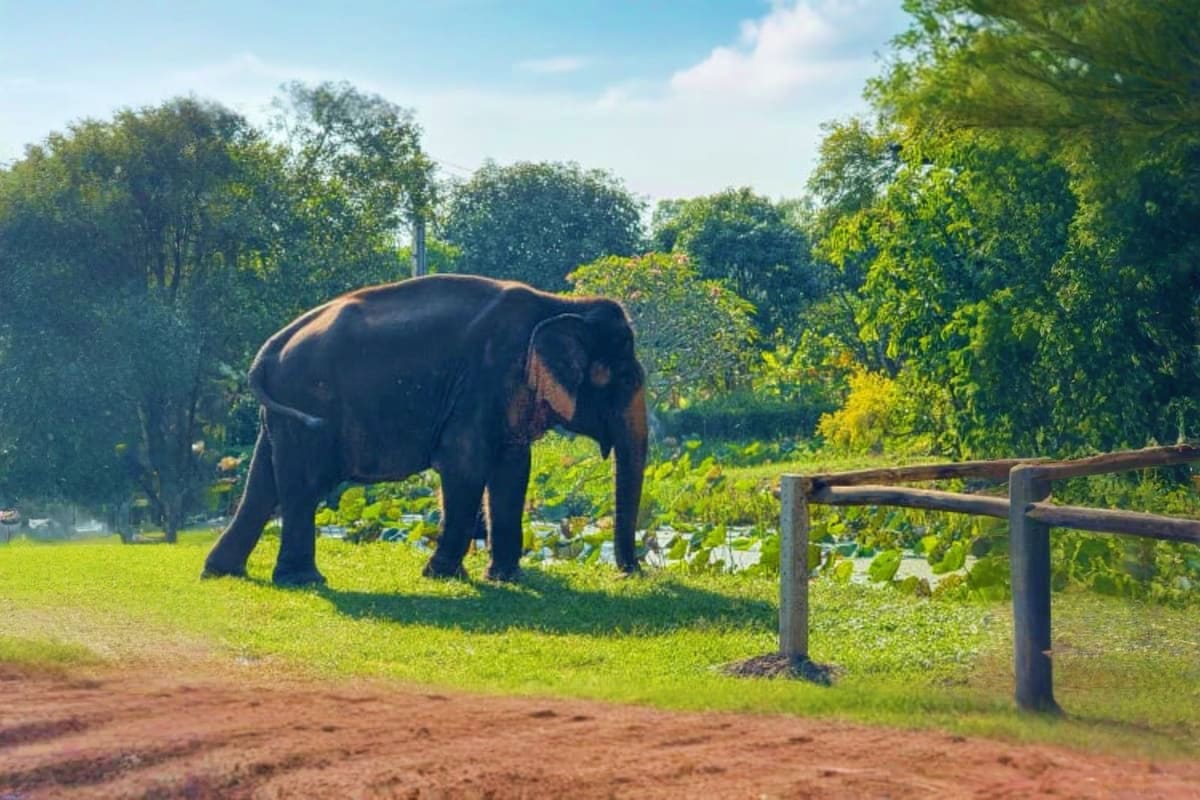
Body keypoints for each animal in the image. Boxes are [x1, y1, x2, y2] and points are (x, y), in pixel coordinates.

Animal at [202, 274, 648, 586]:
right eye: (626, 380)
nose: (631, 573)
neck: (560, 304)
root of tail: (268, 350)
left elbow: (513, 469)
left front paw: (505, 579)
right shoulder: (482, 382)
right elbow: (465, 465)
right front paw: (443, 576)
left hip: (281, 415)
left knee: (263, 485)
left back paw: (223, 572)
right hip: (307, 404)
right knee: (302, 487)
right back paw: (304, 581)